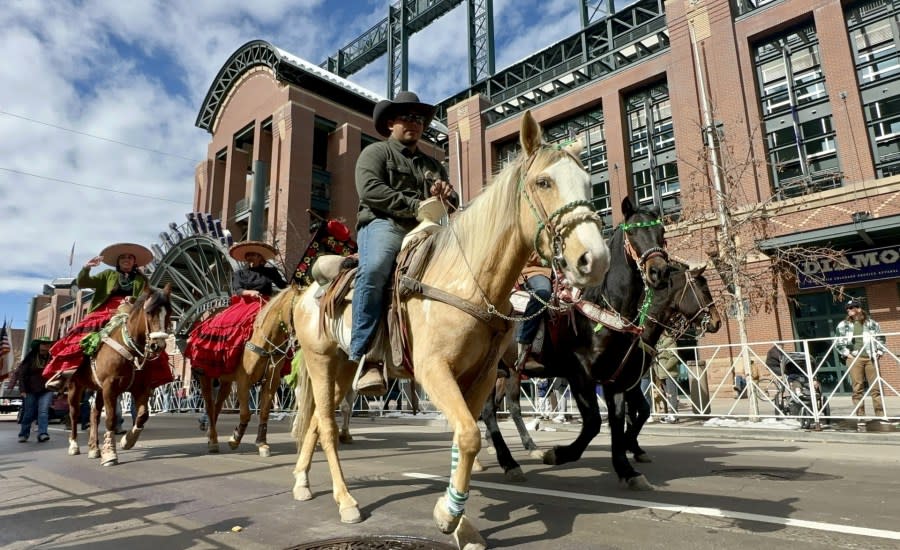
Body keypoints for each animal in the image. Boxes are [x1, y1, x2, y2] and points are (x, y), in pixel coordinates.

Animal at [65, 286, 172, 468]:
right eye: (149, 312)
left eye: (169, 313)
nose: (158, 345)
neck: (130, 348)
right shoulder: (110, 386)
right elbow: (110, 419)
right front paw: (110, 454)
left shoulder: (141, 387)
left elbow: (143, 415)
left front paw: (127, 441)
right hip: (75, 386)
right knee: (74, 413)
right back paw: (74, 445)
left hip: (99, 389)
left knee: (94, 413)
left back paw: (94, 448)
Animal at [196, 284, 300, 458]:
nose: (299, 342)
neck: (266, 343)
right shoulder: (244, 381)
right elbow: (245, 413)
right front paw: (235, 439)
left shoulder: (271, 382)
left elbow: (264, 412)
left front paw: (262, 443)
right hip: (205, 376)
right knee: (210, 407)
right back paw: (213, 441)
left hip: (226, 381)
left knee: (217, 406)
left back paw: (211, 435)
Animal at [288, 111, 612, 548]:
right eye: (544, 182)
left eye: (589, 183)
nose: (594, 259)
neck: (468, 279)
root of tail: (307, 291)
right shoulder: (433, 370)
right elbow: (471, 435)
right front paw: (447, 515)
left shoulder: (481, 375)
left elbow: (465, 438)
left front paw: (462, 523)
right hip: (320, 361)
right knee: (324, 424)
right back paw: (346, 501)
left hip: (342, 368)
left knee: (316, 421)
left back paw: (302, 482)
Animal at [482, 262, 720, 488]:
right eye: (702, 288)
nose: (716, 322)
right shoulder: (590, 378)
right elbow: (611, 418)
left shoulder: (624, 380)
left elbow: (634, 414)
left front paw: (629, 454)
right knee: (496, 410)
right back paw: (511, 457)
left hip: (505, 373)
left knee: (499, 408)